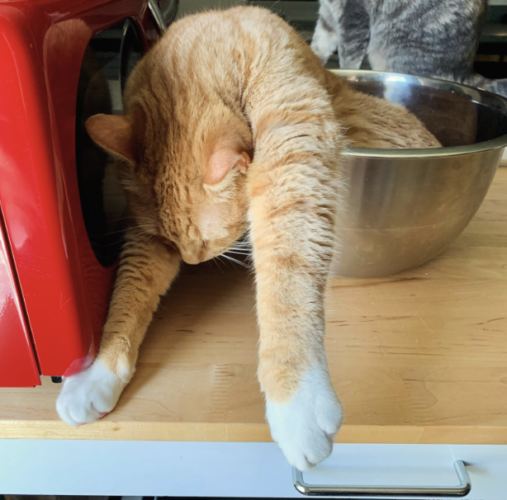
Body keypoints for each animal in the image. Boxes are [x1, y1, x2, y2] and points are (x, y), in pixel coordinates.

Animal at [56, 5, 440, 470]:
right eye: (174, 245)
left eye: (206, 242)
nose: (193, 261)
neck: (213, 38)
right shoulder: (144, 239)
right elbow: (131, 290)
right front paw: (97, 373)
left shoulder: (293, 144)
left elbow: (288, 272)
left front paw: (297, 402)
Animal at [314, 0, 507, 97]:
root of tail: (464, 68)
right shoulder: (328, 16)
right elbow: (319, 44)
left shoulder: (353, 17)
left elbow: (349, 57)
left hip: (400, 54)